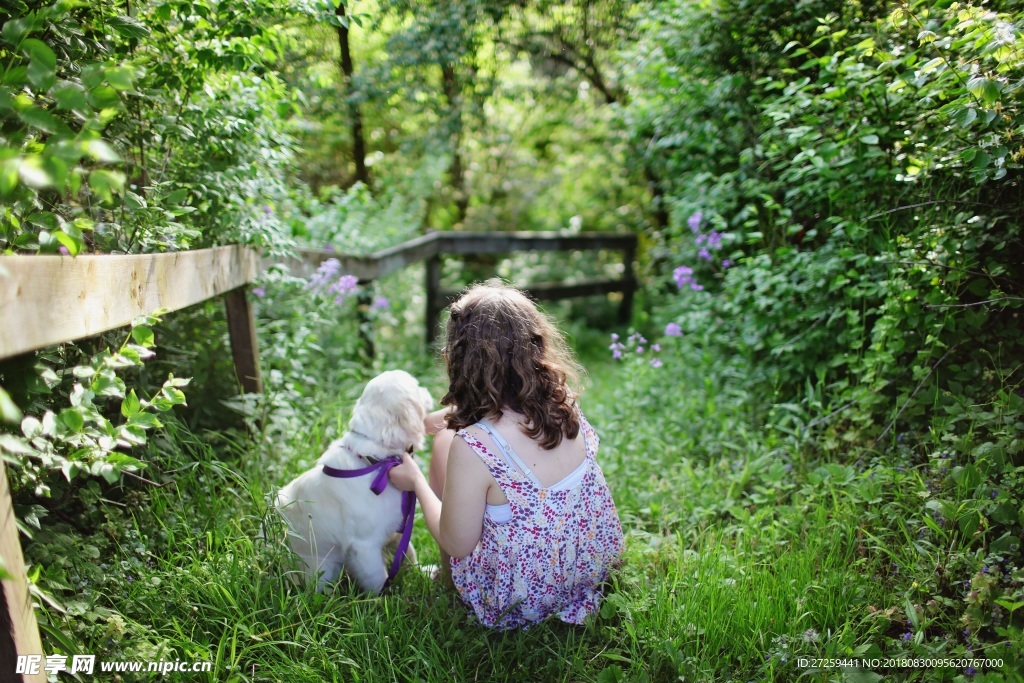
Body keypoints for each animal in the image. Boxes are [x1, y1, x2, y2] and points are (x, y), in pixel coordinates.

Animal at [276, 370, 432, 589]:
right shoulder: (364, 546)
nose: (428, 390)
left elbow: (408, 552)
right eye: (417, 387)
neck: (375, 461)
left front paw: (424, 572)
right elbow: (378, 579)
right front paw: (387, 596)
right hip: (323, 570)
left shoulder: (397, 527)